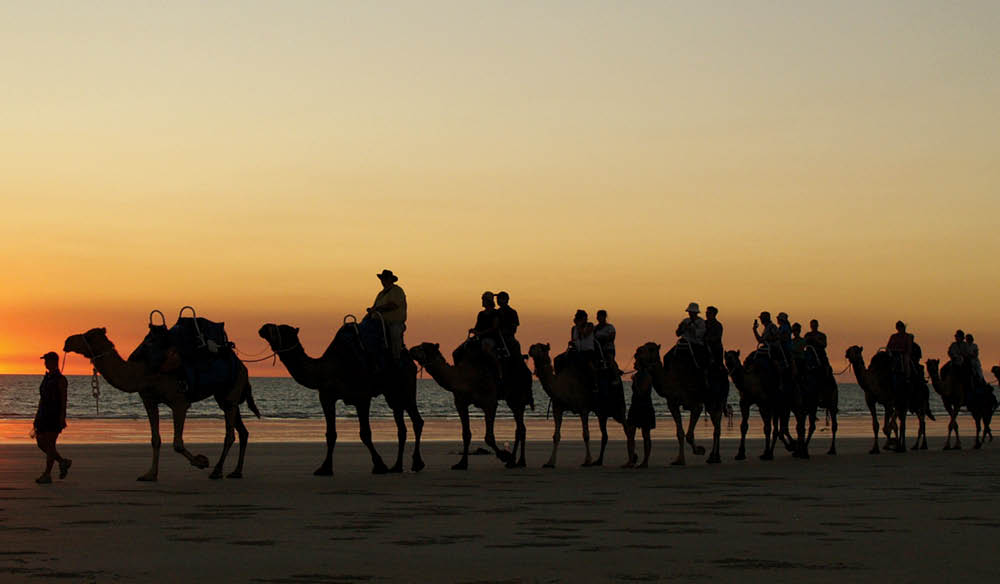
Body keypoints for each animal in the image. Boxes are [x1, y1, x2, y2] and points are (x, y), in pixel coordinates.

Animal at [63, 326, 258, 482]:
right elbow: (155, 439)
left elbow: (177, 443)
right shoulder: (149, 400)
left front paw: (201, 461)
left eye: (88, 336)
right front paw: (150, 475)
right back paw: (236, 472)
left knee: (230, 434)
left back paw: (217, 471)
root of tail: (243, 367)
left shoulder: (179, 402)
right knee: (242, 431)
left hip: (232, 391)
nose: (67, 341)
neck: (142, 372)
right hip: (224, 397)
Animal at [256, 322, 424, 476]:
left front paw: (379, 465)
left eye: (283, 329)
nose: (263, 327)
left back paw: (417, 463)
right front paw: (325, 468)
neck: (327, 369)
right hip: (392, 395)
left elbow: (365, 433)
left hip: (406, 387)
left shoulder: (362, 397)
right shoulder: (326, 397)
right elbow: (331, 434)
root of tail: (408, 358)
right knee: (401, 427)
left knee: (417, 421)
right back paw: (397, 466)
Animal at [408, 342, 512, 470]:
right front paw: (462, 463)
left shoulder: (490, 402)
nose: (411, 349)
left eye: (423, 347)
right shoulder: (461, 403)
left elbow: (489, 437)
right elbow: (466, 435)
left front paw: (505, 456)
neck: (465, 378)